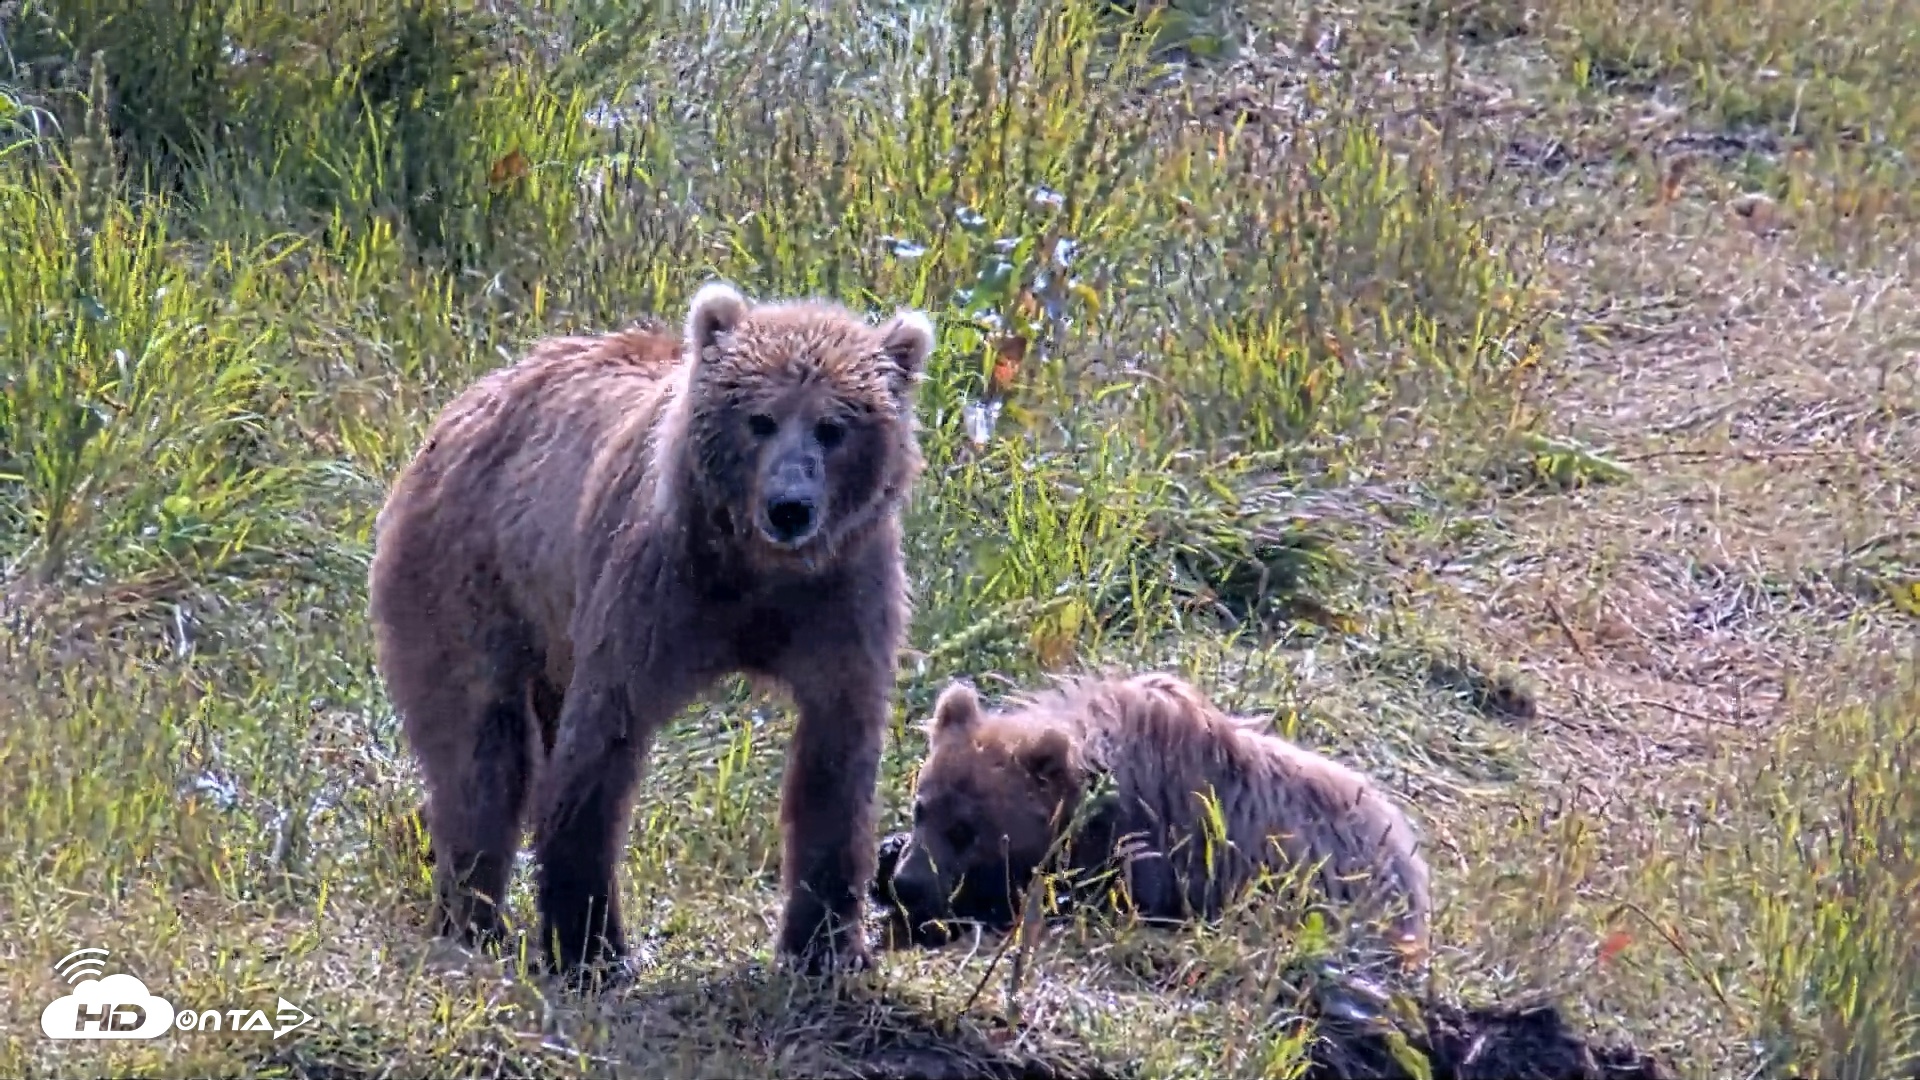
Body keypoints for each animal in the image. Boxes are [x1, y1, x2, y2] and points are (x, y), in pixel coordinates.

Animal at [367, 281, 935, 982]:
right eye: (761, 419)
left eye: (834, 428)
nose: (789, 507)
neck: (754, 571)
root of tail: (467, 401)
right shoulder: (656, 592)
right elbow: (601, 750)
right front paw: (592, 949)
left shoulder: (840, 602)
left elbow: (834, 764)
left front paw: (826, 947)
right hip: (472, 574)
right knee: (481, 751)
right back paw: (471, 917)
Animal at [876, 672, 1432, 968]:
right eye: (922, 807)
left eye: (965, 831)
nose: (909, 883)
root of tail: (1413, 858)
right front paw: (886, 853)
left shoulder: (1153, 849)